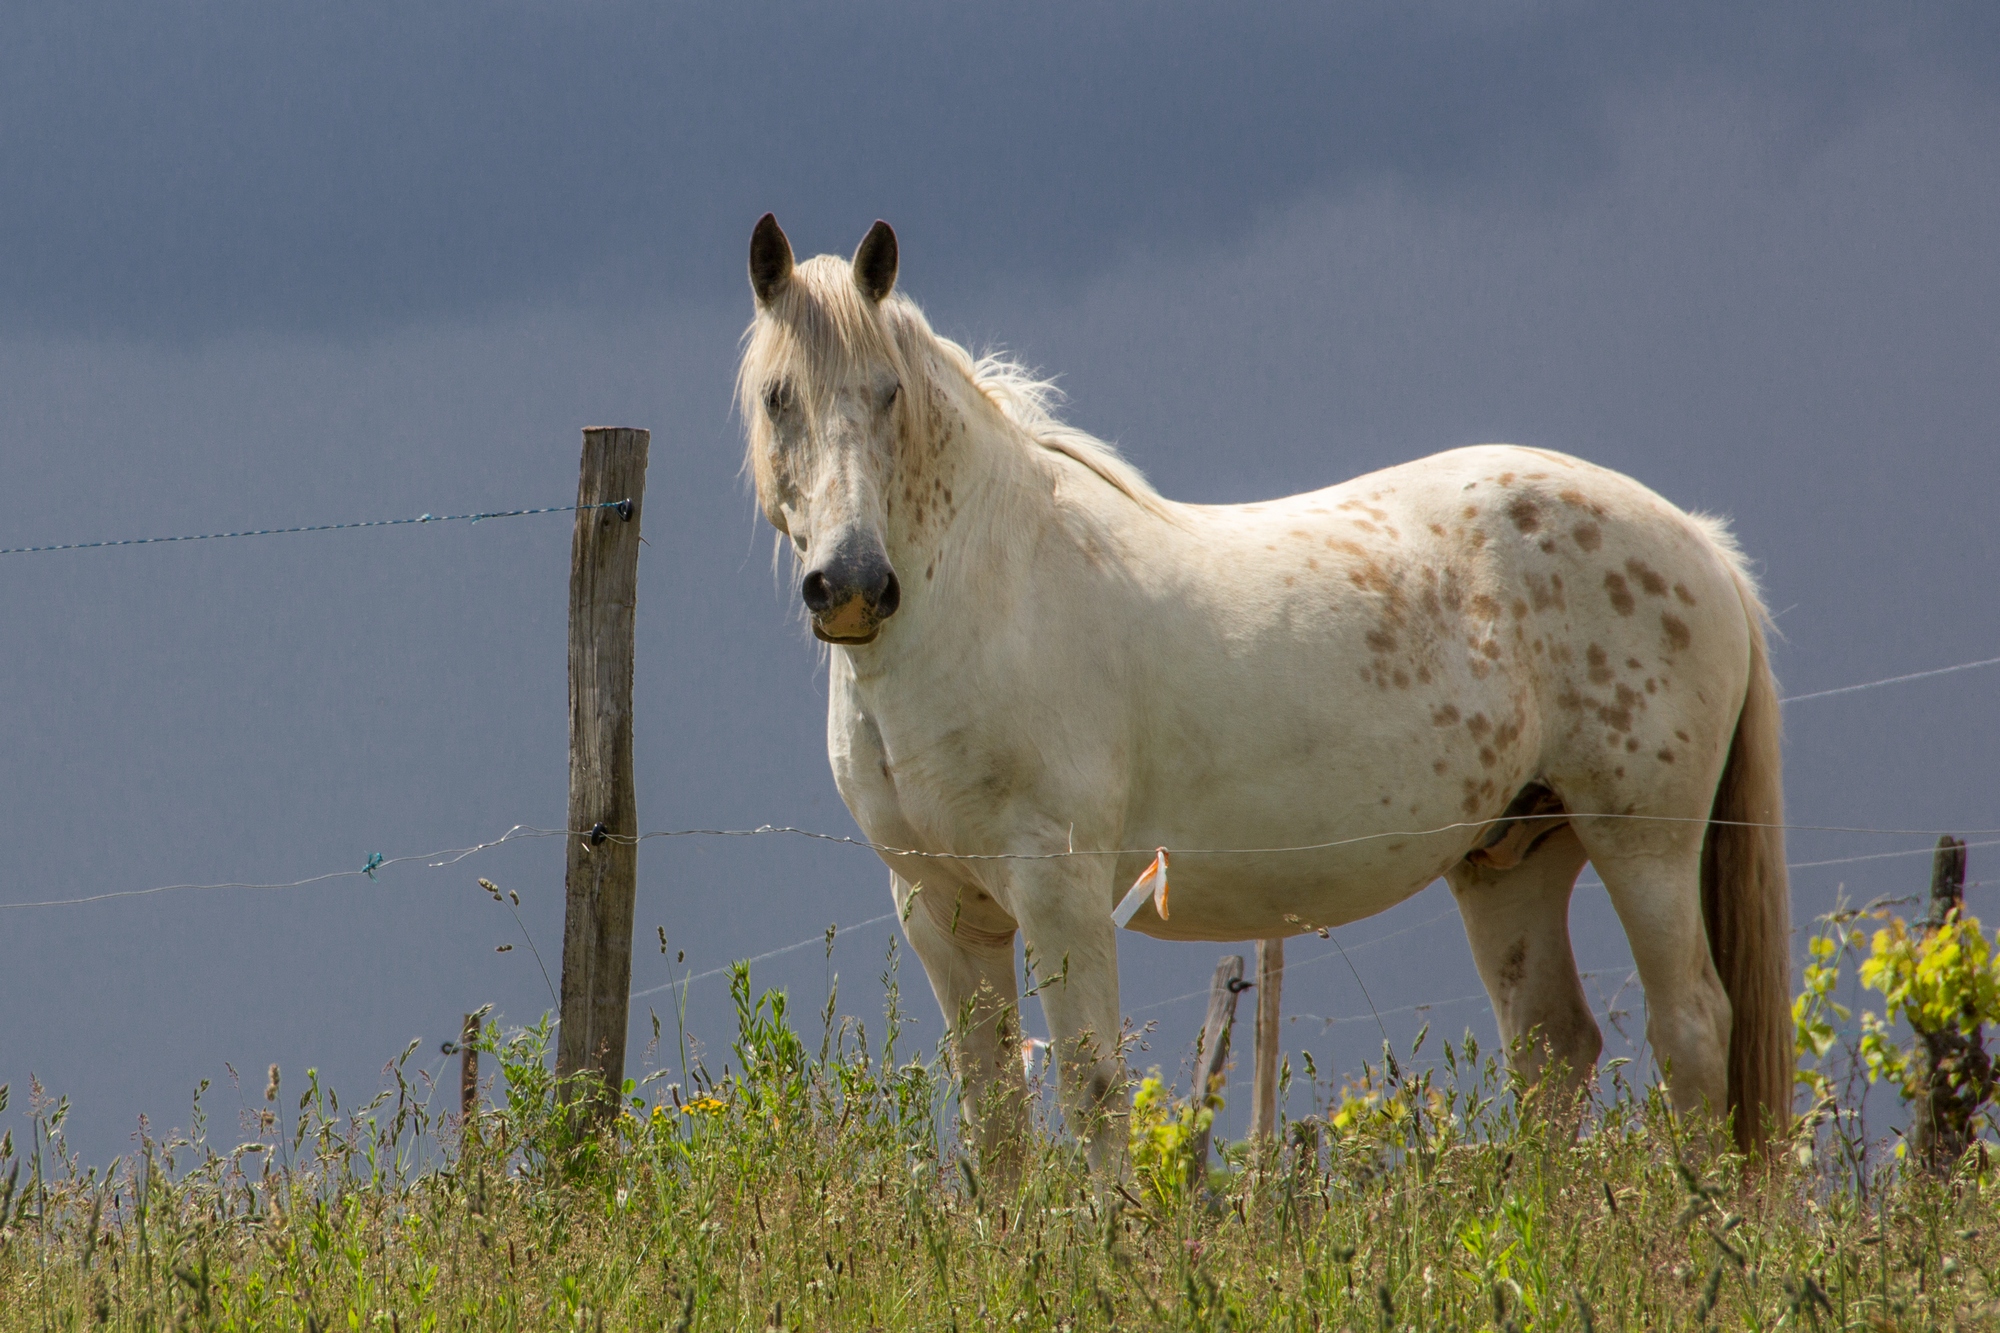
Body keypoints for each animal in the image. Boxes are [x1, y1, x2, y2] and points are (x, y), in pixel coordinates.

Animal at [740, 213, 1800, 1160]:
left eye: (887, 393)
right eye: (778, 397)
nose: (852, 585)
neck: (988, 586)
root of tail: (1698, 540)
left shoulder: (1060, 891)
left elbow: (1091, 1091)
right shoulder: (942, 912)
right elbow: (993, 1120)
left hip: (1643, 843)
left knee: (1692, 1029)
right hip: (1513, 858)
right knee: (1552, 1047)